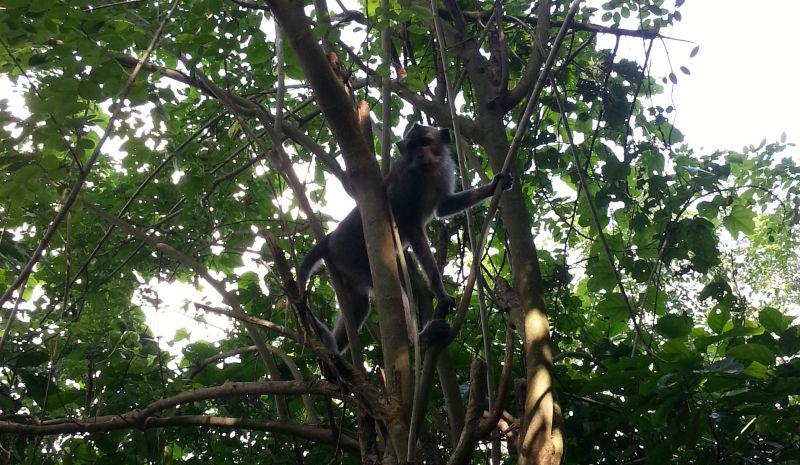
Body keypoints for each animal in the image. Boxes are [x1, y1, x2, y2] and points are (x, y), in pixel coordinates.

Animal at [296, 122, 510, 352]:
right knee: (396, 295)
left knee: (360, 306)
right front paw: (440, 293)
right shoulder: (409, 183)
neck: (427, 172)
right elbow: (412, 227)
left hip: (343, 269)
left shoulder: (443, 174)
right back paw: (416, 340)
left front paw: (493, 186)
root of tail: (331, 238)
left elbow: (444, 206)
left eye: (425, 142)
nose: (420, 155)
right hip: (351, 258)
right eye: (412, 146)